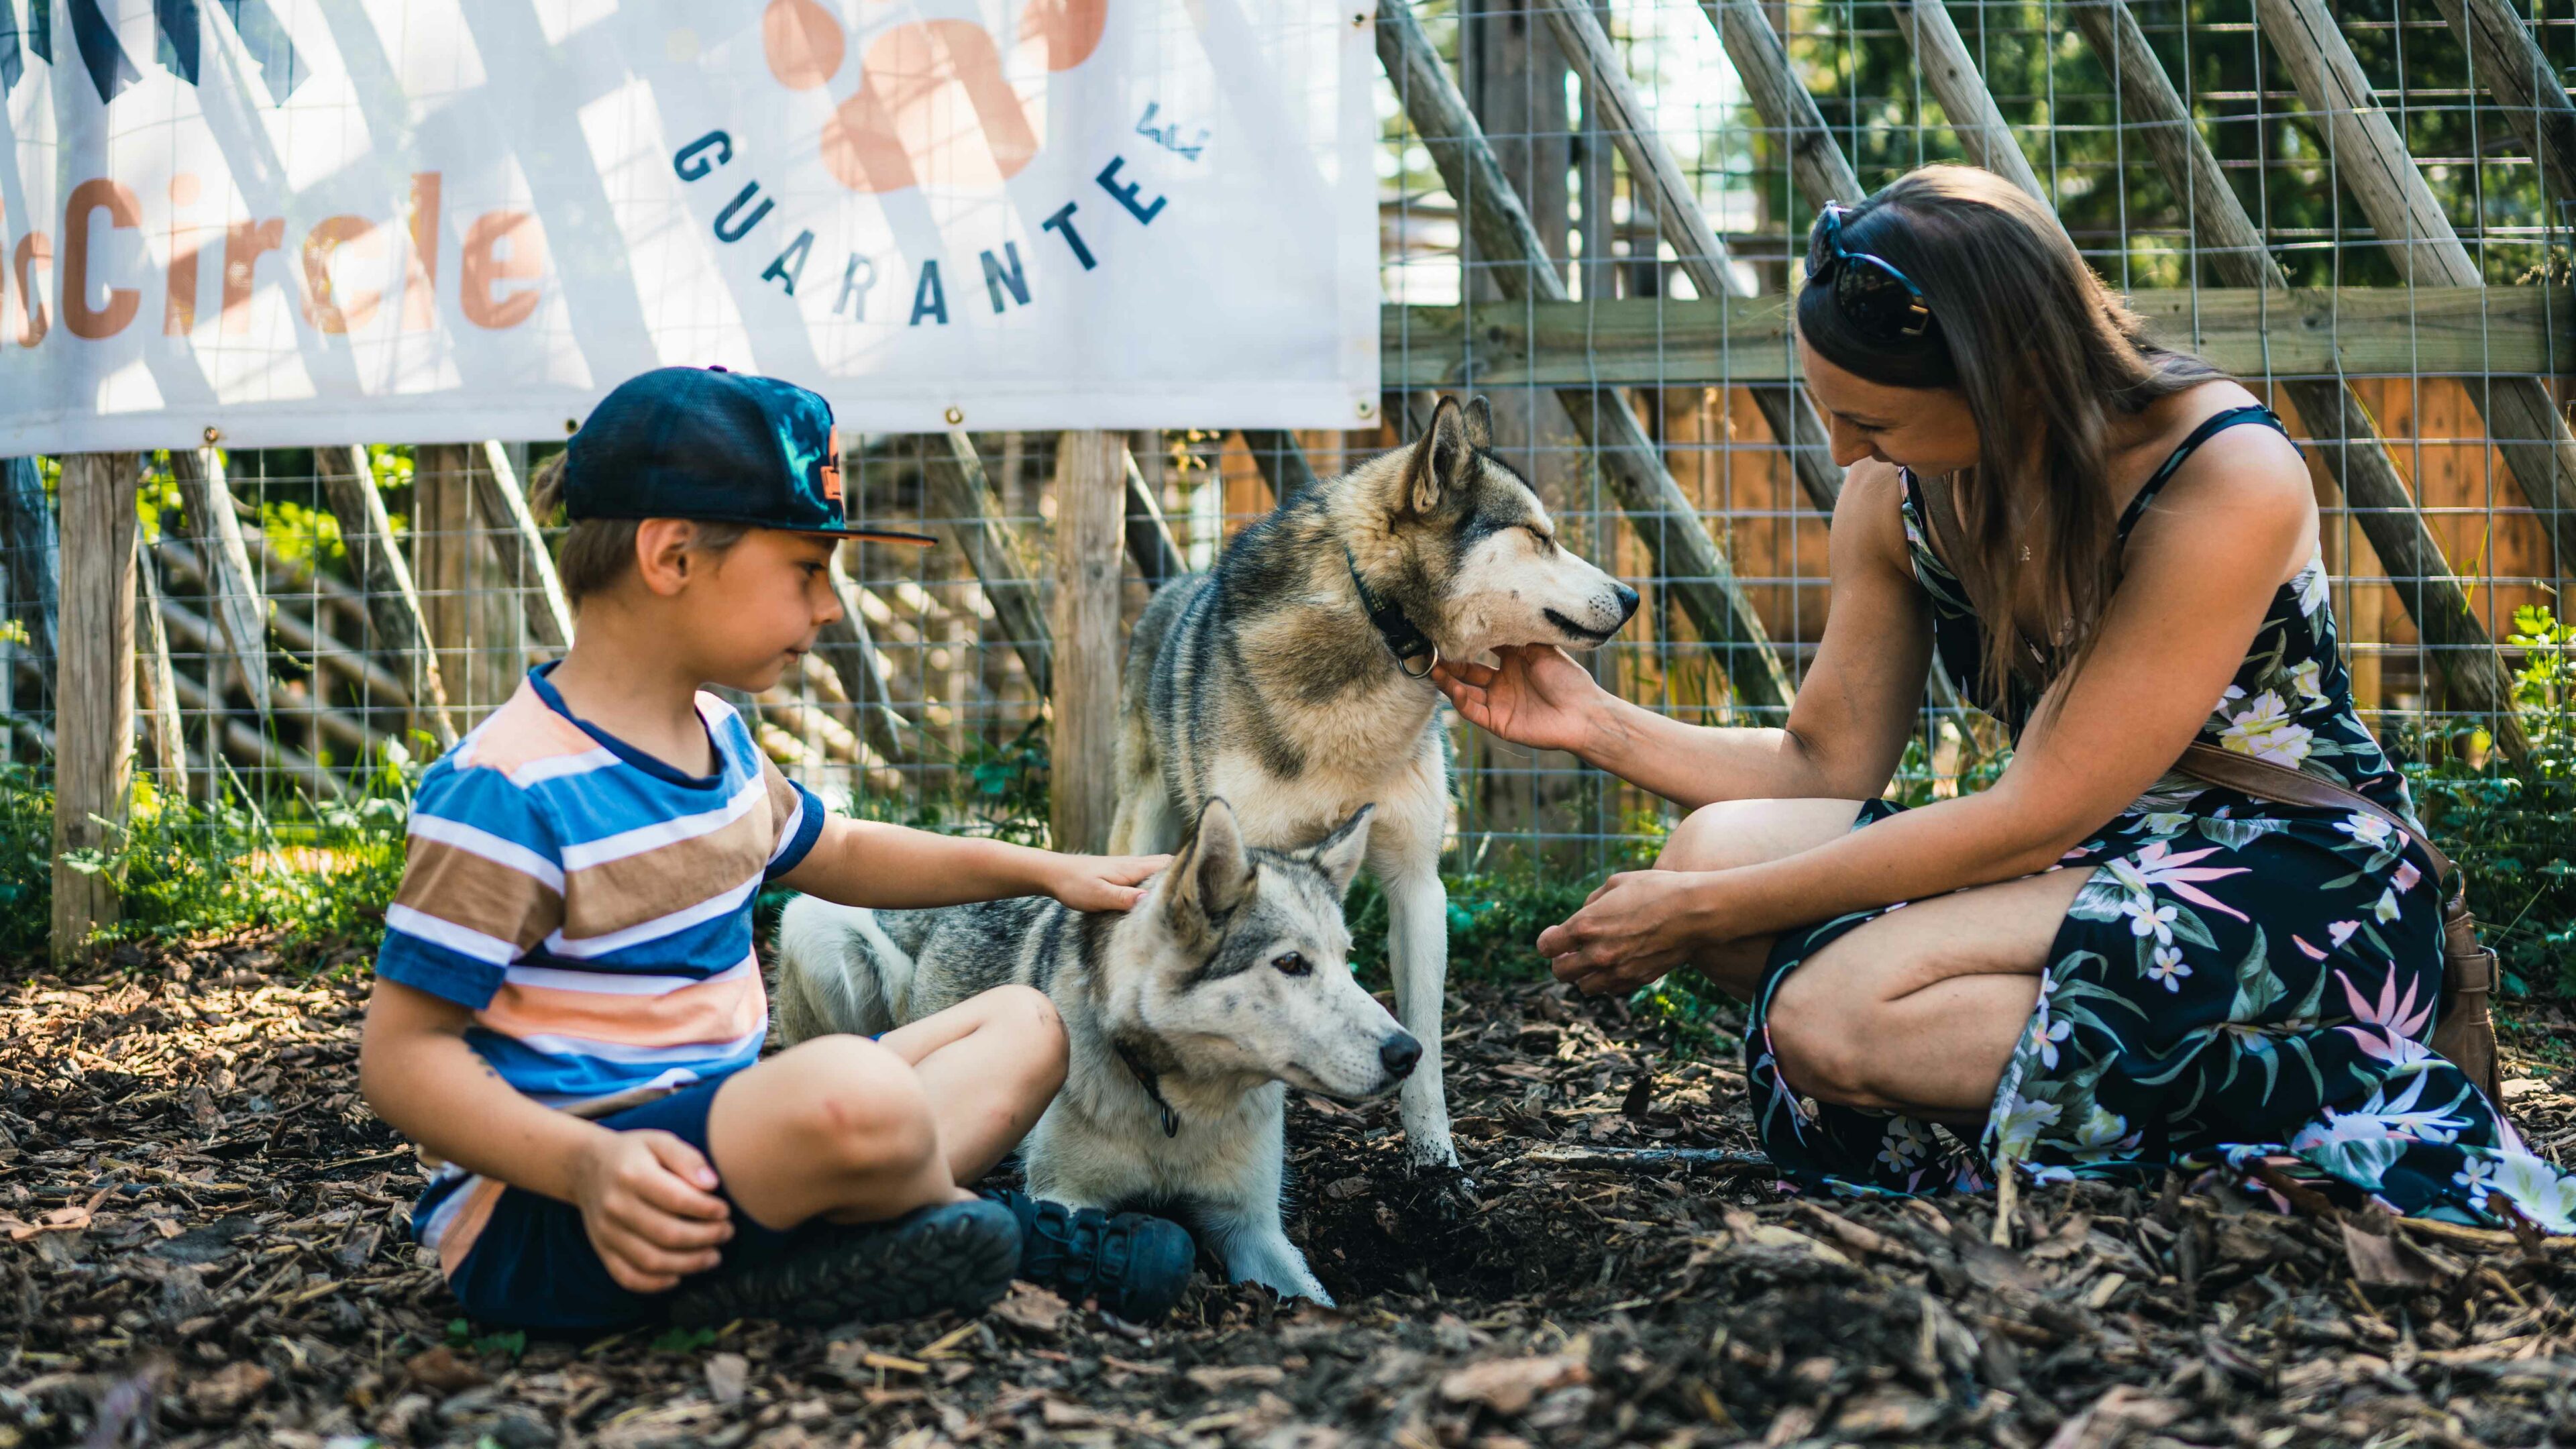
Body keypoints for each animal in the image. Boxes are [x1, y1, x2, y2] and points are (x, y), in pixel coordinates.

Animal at [773, 794, 1401, 1304]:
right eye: (1292, 963)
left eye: (1346, 961)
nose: (1408, 1051)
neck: (1172, 1109)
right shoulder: (1067, 1197)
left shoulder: (1253, 1229)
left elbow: (1316, 1301)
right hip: (816, 931)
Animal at [1102, 394, 1627, 1175]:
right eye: (1540, 537)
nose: (1633, 596)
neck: (1377, 634)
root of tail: (1174, 586)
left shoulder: (1418, 884)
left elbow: (1428, 1046)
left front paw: (1436, 1166)